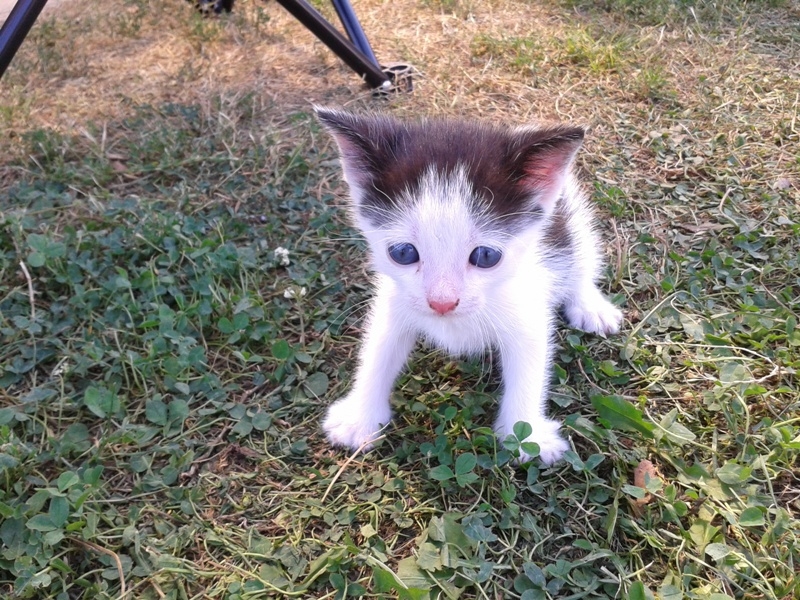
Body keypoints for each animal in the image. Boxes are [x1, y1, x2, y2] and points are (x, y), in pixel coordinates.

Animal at [316, 108, 620, 464]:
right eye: (403, 253)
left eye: (486, 256)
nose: (442, 303)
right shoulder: (395, 300)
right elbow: (378, 348)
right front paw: (359, 418)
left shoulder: (526, 300)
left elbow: (530, 363)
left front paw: (528, 433)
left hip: (569, 219)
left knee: (582, 258)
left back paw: (589, 305)